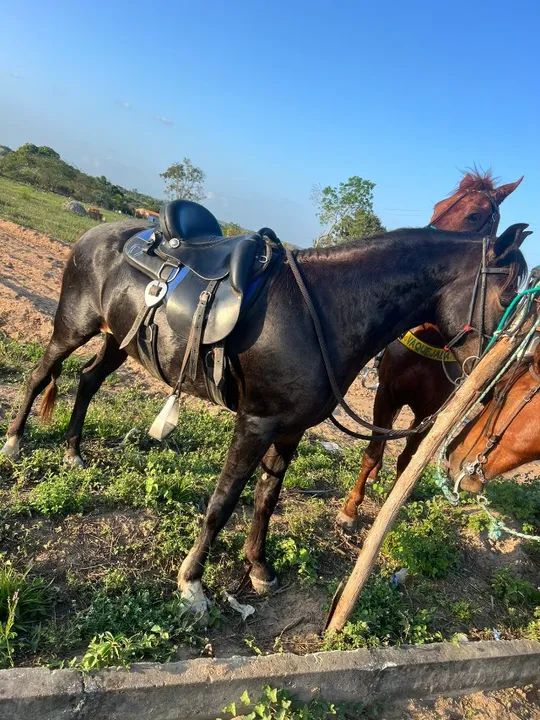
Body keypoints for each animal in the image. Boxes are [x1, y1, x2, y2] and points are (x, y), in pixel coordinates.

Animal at [1, 215, 528, 613]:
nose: (495, 378)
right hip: (74, 326)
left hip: (118, 339)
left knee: (88, 381)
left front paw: (258, 568)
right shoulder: (255, 423)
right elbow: (223, 502)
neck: (324, 312)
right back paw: (14, 441)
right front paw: (192, 583)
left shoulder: (289, 429)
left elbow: (265, 500)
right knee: (38, 376)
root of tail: (98, 233)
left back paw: (73, 451)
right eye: (509, 298)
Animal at [337, 171, 524, 530]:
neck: (432, 342)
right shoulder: (387, 394)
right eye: (438, 206)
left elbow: (407, 461)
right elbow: (373, 451)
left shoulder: (429, 414)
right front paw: (350, 509)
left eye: (475, 215)